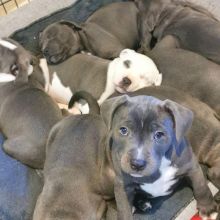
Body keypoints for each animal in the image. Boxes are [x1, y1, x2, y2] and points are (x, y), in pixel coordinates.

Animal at [33, 95, 217, 220]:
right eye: (123, 130)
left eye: (159, 134)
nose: (137, 163)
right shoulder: (121, 184)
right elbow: (123, 208)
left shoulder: (191, 165)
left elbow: (201, 186)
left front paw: (208, 209)